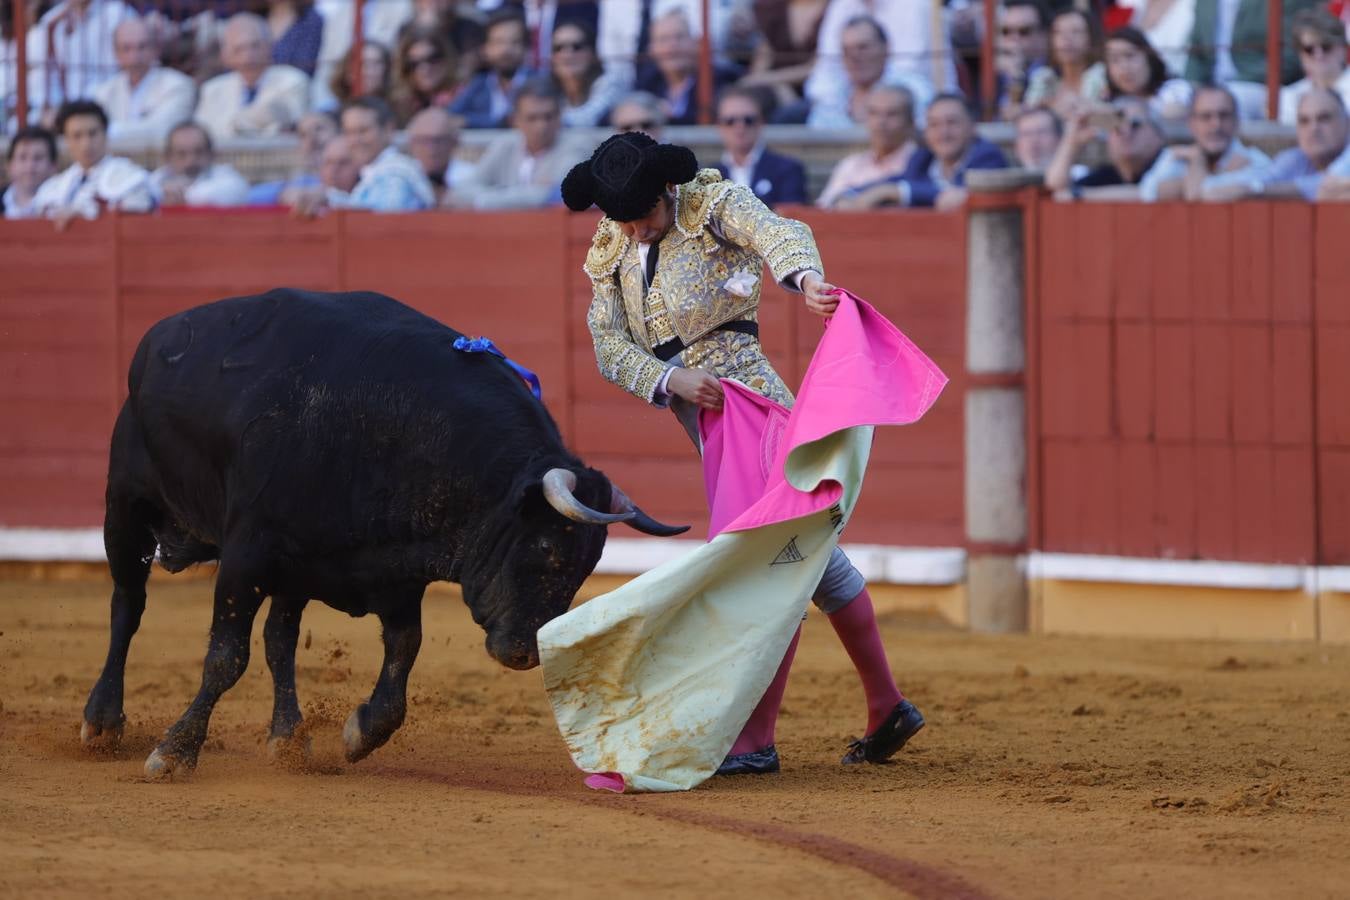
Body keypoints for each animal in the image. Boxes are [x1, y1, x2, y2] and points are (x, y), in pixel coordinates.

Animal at [78, 290, 680, 782]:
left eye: (585, 568)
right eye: (547, 549)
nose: (524, 653)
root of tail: (160, 334)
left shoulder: (395, 570)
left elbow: (403, 650)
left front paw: (359, 733)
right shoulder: (248, 555)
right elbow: (225, 657)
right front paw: (174, 752)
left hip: (292, 574)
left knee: (279, 639)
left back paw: (288, 739)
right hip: (124, 506)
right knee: (127, 606)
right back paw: (101, 722)